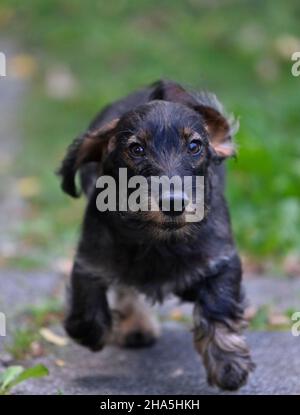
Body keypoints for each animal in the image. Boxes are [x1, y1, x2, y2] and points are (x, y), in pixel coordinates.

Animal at [59, 79, 255, 392]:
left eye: (194, 145)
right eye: (136, 149)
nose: (173, 203)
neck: (158, 241)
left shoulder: (220, 259)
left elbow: (218, 305)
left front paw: (228, 365)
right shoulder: (91, 257)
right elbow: (88, 314)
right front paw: (97, 331)